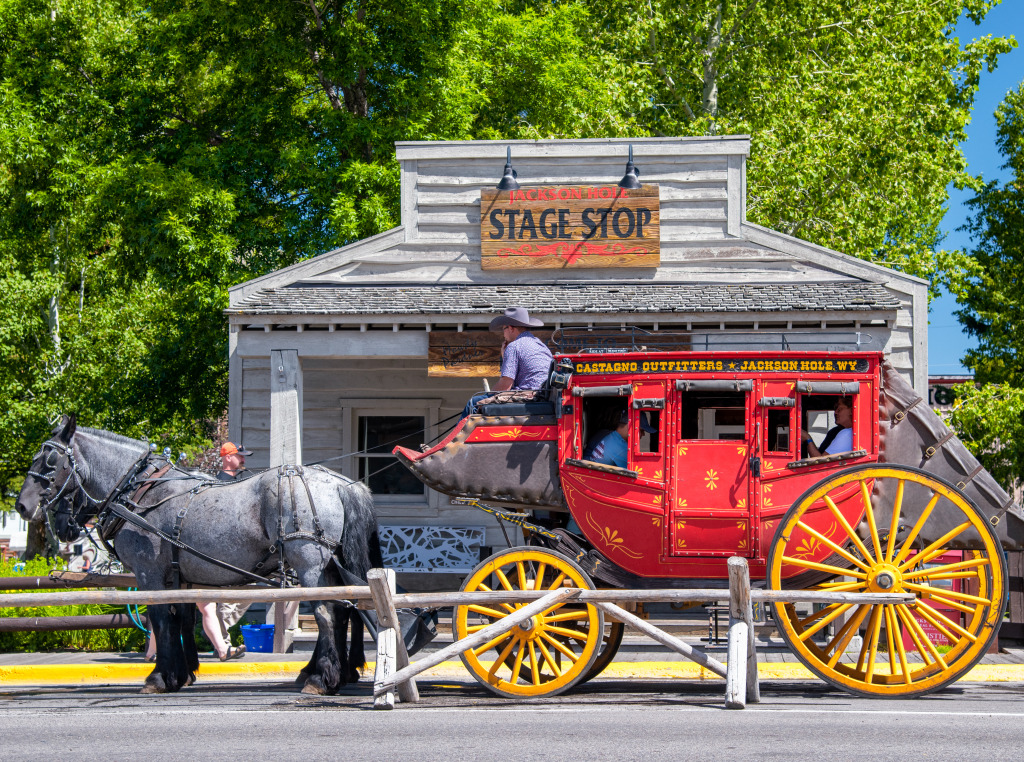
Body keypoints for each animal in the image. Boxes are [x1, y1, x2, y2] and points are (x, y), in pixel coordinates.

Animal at [14, 415, 385, 696]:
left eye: (49, 460)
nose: (22, 506)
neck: (139, 491)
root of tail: (340, 484)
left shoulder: (149, 573)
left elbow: (161, 619)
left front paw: (160, 677)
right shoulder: (180, 576)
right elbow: (182, 618)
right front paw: (183, 672)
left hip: (309, 563)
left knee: (328, 614)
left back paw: (321, 678)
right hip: (331, 564)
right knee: (347, 610)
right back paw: (333, 672)